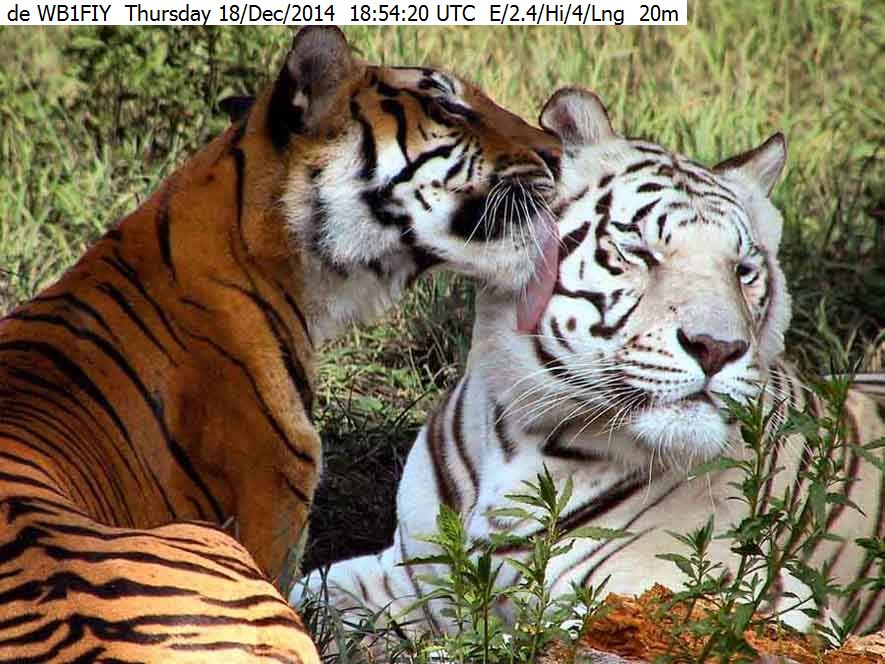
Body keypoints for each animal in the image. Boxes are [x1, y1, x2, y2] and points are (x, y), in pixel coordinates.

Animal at [296, 87, 884, 647]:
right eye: (640, 251)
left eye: (743, 271)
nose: (717, 348)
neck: (520, 440)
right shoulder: (407, 572)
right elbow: (306, 593)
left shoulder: (733, 607)